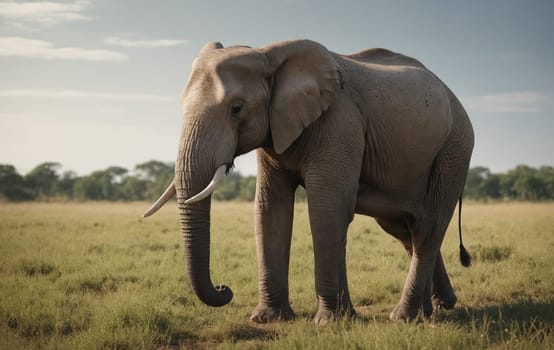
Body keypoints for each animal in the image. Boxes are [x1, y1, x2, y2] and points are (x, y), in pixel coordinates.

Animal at [142, 39, 470, 324]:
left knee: (428, 228)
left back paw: (404, 316)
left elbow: (326, 209)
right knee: (404, 230)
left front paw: (328, 322)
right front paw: (269, 319)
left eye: (236, 108)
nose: (225, 289)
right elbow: (270, 211)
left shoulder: (339, 123)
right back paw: (436, 308)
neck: (267, 54)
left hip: (454, 150)